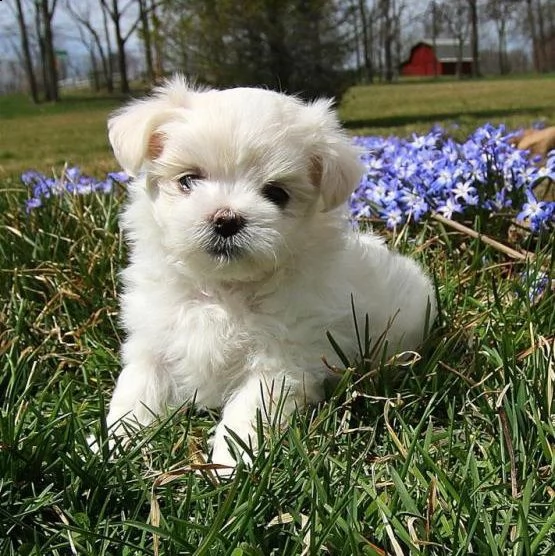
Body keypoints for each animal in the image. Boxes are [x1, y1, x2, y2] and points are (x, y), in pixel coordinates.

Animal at [102, 76, 436, 472]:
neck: (223, 289)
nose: (226, 219)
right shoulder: (153, 344)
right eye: (188, 180)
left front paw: (229, 465)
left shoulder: (280, 362)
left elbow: (248, 411)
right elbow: (136, 391)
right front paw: (110, 447)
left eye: (277, 193)